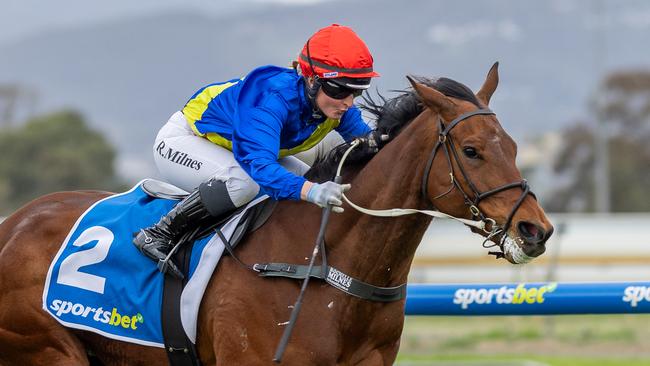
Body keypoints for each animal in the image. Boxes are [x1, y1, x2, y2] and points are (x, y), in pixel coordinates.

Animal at [0, 63, 552, 366]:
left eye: (514, 146)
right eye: (472, 150)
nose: (536, 230)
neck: (326, 266)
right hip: (48, 350)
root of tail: (13, 223)